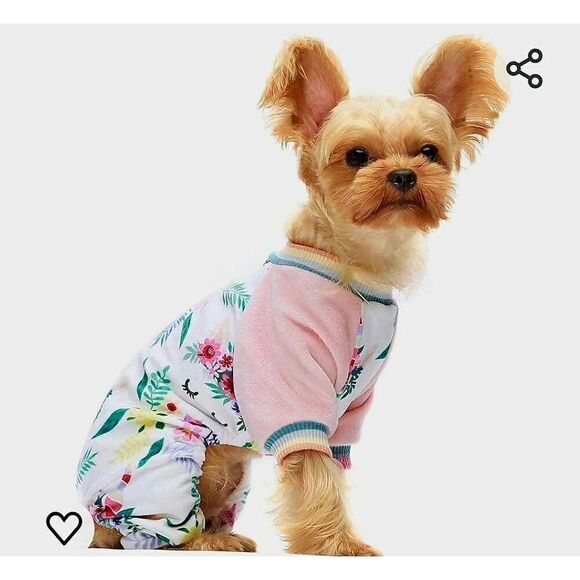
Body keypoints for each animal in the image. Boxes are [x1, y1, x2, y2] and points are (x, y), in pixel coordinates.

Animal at [79, 35, 507, 555]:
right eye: (357, 156)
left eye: (428, 151)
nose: (405, 175)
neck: (352, 265)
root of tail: (95, 517)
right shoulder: (292, 383)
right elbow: (315, 474)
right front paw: (340, 546)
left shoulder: (347, 409)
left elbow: (331, 471)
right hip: (168, 467)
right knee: (162, 539)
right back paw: (212, 543)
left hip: (229, 471)